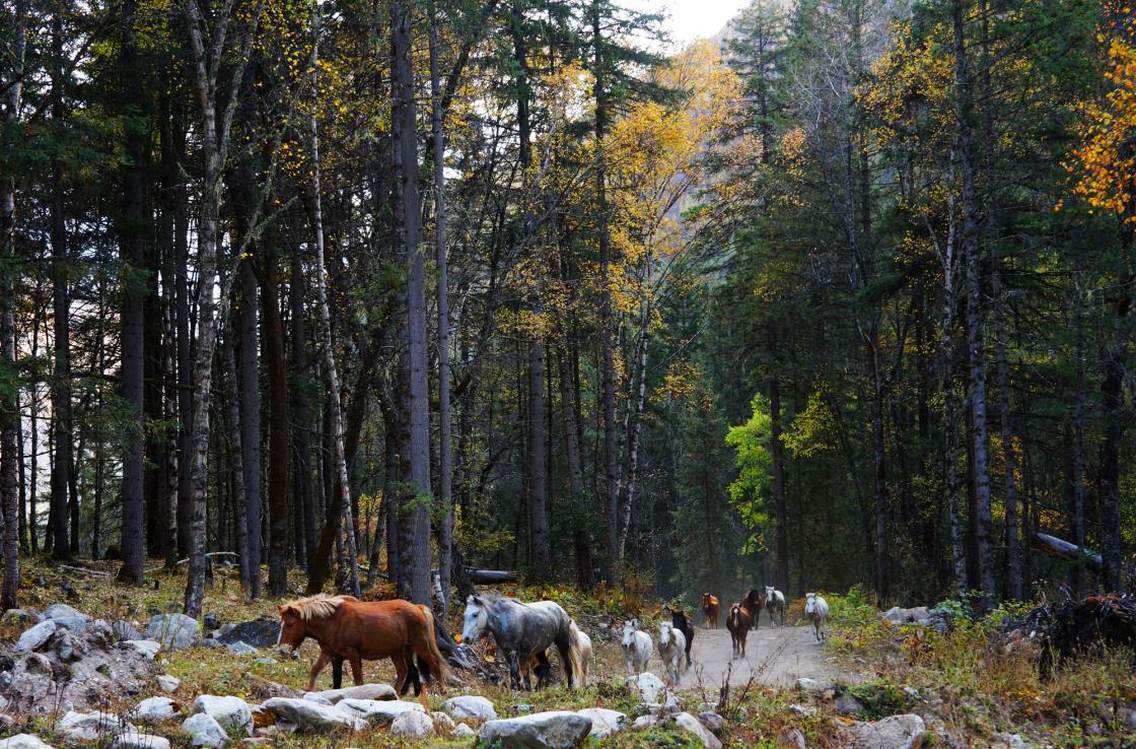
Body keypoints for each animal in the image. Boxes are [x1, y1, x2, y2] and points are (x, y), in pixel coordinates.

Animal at [276, 591, 447, 695]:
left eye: (290, 624)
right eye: (281, 623)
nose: (282, 648)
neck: (333, 621)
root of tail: (419, 607)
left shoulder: (352, 654)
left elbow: (358, 679)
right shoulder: (331, 654)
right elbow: (318, 671)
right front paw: (310, 690)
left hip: (420, 646)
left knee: (433, 664)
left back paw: (442, 690)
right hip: (400, 651)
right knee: (406, 671)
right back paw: (400, 692)